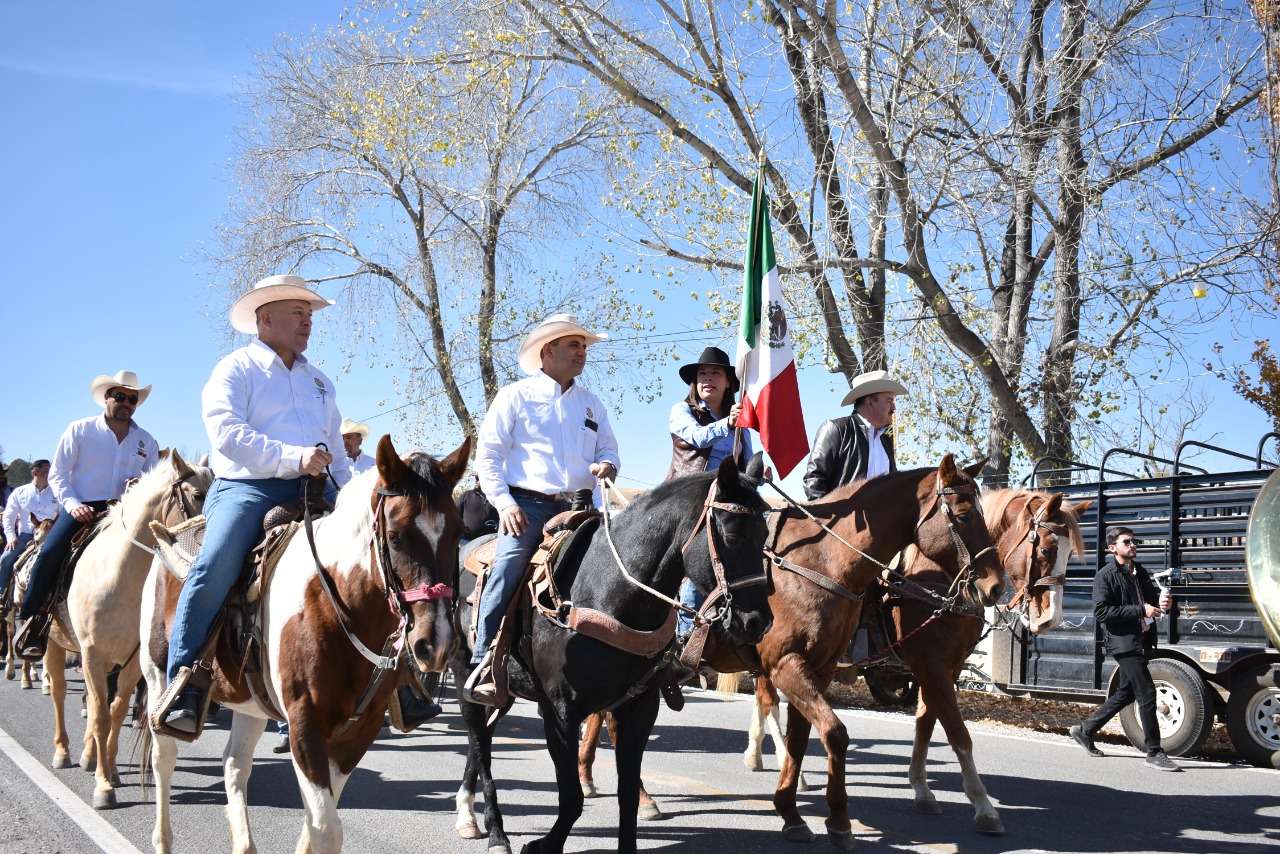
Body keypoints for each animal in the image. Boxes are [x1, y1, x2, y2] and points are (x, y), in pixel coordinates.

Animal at [48, 451, 212, 811]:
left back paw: (87, 755)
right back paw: (63, 751)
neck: (117, 576)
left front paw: (109, 771)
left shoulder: (133, 662)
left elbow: (115, 710)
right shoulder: (91, 655)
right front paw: (103, 788)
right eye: (197, 495)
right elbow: (99, 715)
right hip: (55, 645)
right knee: (59, 692)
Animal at [141, 435, 468, 854]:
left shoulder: (358, 731)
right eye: (395, 536)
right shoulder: (304, 725)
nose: (435, 643)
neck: (335, 601)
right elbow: (326, 829)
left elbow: (316, 824)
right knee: (164, 758)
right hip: (156, 680)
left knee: (235, 765)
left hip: (250, 703)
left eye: (458, 533)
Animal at [451, 456, 774, 854]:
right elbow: (572, 797)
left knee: (480, 740)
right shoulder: (560, 712)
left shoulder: (639, 708)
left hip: (504, 690)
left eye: (765, 535)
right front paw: (544, 844)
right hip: (463, 675)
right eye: (731, 536)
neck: (608, 593)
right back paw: (493, 830)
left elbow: (627, 794)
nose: (757, 621)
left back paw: (471, 814)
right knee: (480, 744)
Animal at [697, 454, 1003, 850]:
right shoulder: (788, 664)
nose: (995, 586)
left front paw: (792, 812)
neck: (818, 563)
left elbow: (806, 738)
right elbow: (841, 734)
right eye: (963, 515)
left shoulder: (820, 668)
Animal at [743, 487, 1090, 835]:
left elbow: (926, 723)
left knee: (766, 701)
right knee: (771, 703)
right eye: (1046, 549)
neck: (942, 577)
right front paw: (983, 806)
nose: (1050, 619)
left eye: (1069, 555)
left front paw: (922, 789)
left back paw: (756, 755)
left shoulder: (945, 668)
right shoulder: (930, 664)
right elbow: (957, 732)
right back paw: (790, 769)